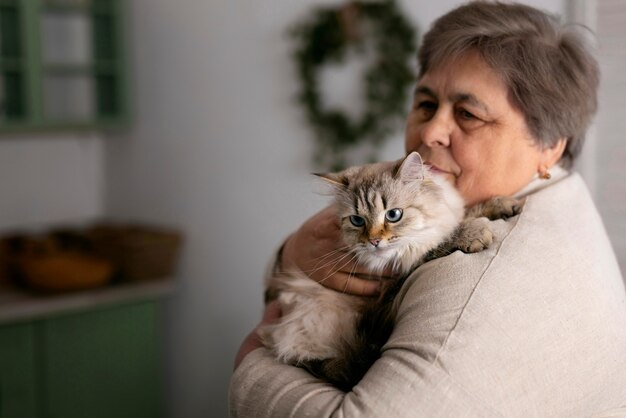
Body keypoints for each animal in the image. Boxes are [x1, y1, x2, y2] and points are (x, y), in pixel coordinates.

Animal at [258, 152, 520, 390]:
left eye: (393, 215)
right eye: (357, 221)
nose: (374, 242)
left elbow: (469, 213)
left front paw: (505, 205)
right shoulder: (399, 270)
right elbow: (441, 242)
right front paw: (473, 233)